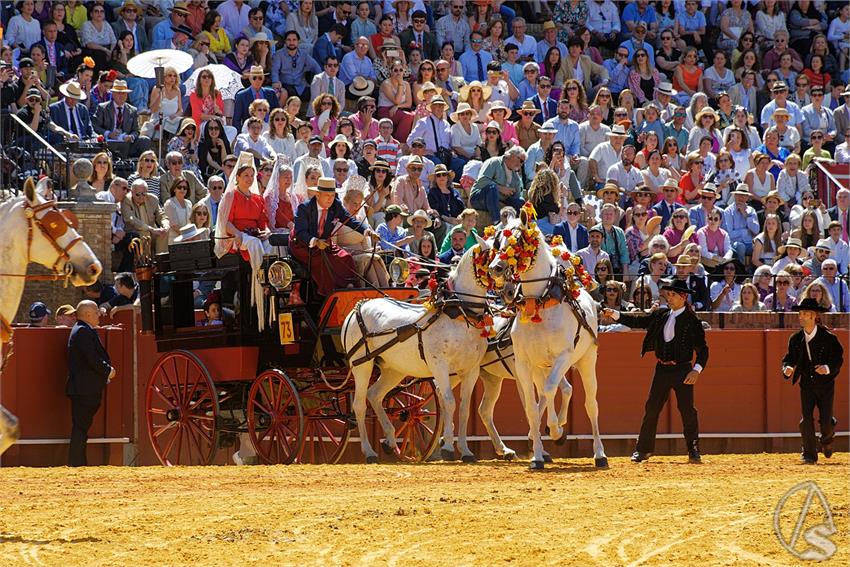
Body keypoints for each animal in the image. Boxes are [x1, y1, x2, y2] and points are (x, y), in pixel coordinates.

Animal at [342, 237, 494, 464]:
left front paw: (466, 451)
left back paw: (390, 441)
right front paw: (448, 448)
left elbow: (464, 409)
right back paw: (369, 452)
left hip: (394, 369)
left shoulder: (471, 370)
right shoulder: (439, 366)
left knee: (375, 395)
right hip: (362, 365)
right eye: (494, 256)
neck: (457, 312)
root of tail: (358, 307)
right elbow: (449, 402)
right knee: (359, 405)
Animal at [486, 213, 608, 470]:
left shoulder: (563, 356)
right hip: (541, 366)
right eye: (499, 240)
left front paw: (554, 431)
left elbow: (551, 391)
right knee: (550, 392)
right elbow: (533, 406)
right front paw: (537, 456)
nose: (495, 268)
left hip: (585, 360)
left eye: (519, 239)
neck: (539, 301)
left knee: (590, 404)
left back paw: (599, 453)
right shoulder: (524, 363)